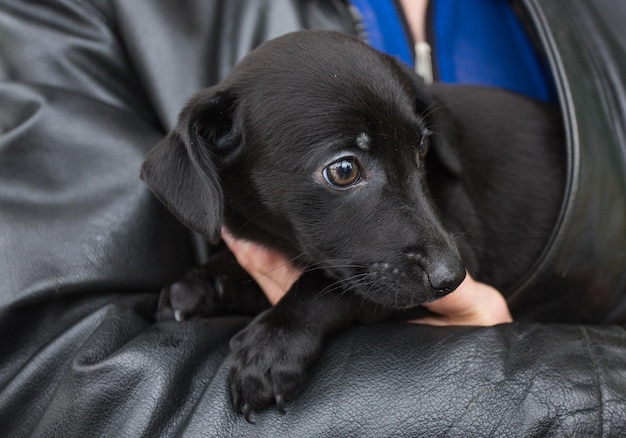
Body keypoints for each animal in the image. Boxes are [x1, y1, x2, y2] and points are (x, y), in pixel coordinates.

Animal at [140, 29, 560, 420]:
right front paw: (200, 281)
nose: (451, 278)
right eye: (343, 170)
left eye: (423, 148)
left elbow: (332, 285)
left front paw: (276, 340)